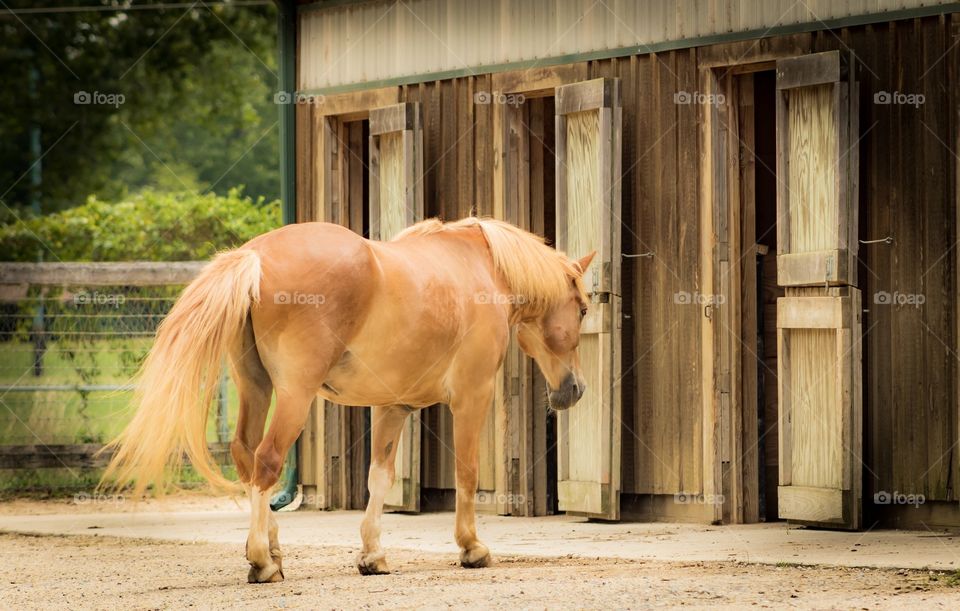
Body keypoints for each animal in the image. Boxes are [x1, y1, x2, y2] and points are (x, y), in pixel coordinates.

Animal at [103, 219, 592, 584]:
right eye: (584, 309)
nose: (574, 390)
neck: (480, 267)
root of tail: (256, 257)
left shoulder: (393, 406)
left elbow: (380, 478)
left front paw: (372, 555)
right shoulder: (472, 397)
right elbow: (467, 473)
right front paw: (472, 548)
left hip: (256, 388)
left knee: (245, 456)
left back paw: (273, 552)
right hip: (294, 396)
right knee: (266, 460)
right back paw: (262, 561)